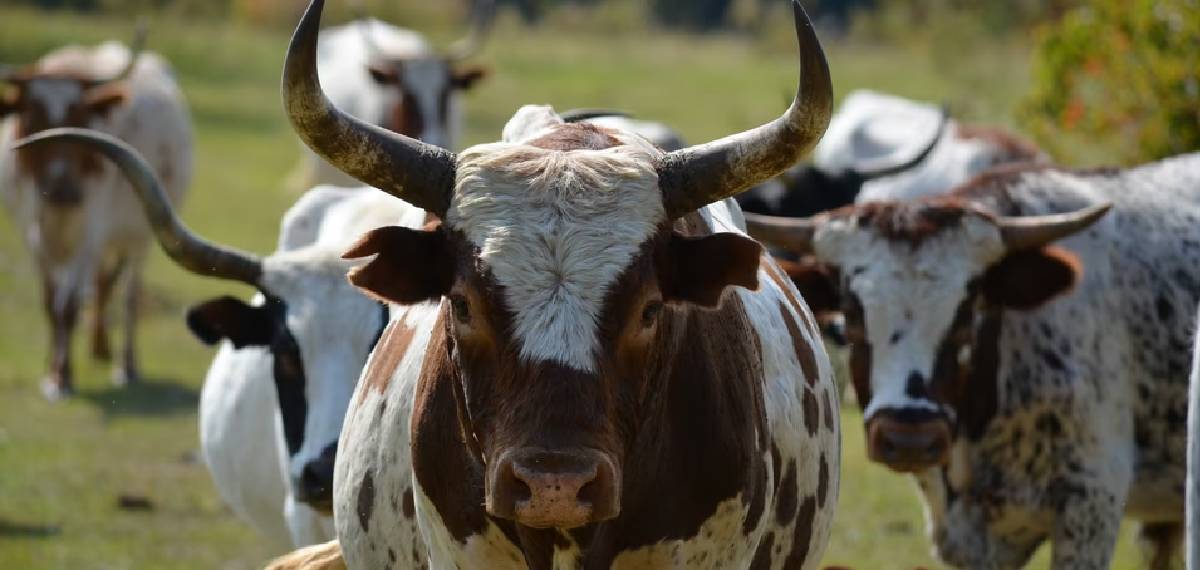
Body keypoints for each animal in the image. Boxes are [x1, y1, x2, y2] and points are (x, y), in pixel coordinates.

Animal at [0, 27, 193, 399]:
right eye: (32, 117)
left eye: (80, 118)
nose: (63, 190)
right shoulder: (31, 230)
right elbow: (51, 302)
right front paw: (50, 369)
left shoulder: (91, 231)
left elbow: (69, 305)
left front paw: (62, 378)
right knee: (102, 283)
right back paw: (97, 347)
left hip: (140, 234)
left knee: (128, 294)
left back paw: (125, 365)